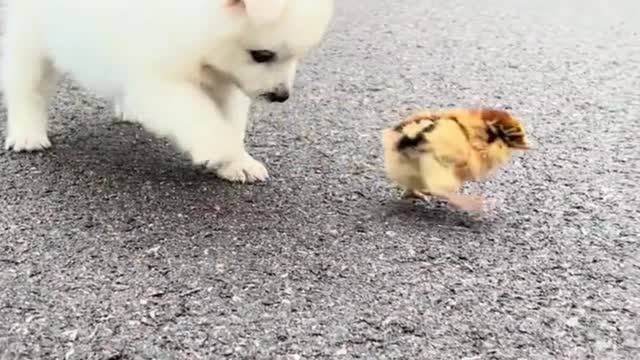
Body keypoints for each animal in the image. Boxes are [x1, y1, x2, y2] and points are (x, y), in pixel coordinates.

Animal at [2, 0, 336, 181]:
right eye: (262, 55)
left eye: (297, 56)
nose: (281, 96)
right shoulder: (158, 78)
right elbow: (197, 113)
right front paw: (221, 149)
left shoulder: (226, 78)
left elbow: (229, 117)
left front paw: (238, 163)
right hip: (34, 35)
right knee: (25, 84)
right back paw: (27, 134)